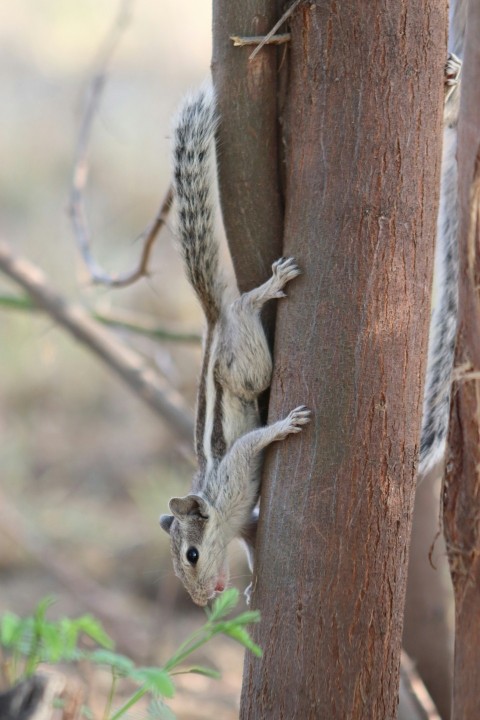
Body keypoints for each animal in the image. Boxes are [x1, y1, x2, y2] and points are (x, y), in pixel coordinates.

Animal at [159, 85, 311, 607]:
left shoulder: (235, 473)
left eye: (191, 555)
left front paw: (285, 425)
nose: (203, 599)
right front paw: (250, 588)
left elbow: (252, 442)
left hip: (242, 362)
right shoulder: (243, 524)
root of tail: (212, 320)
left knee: (244, 306)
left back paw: (267, 288)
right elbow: (251, 544)